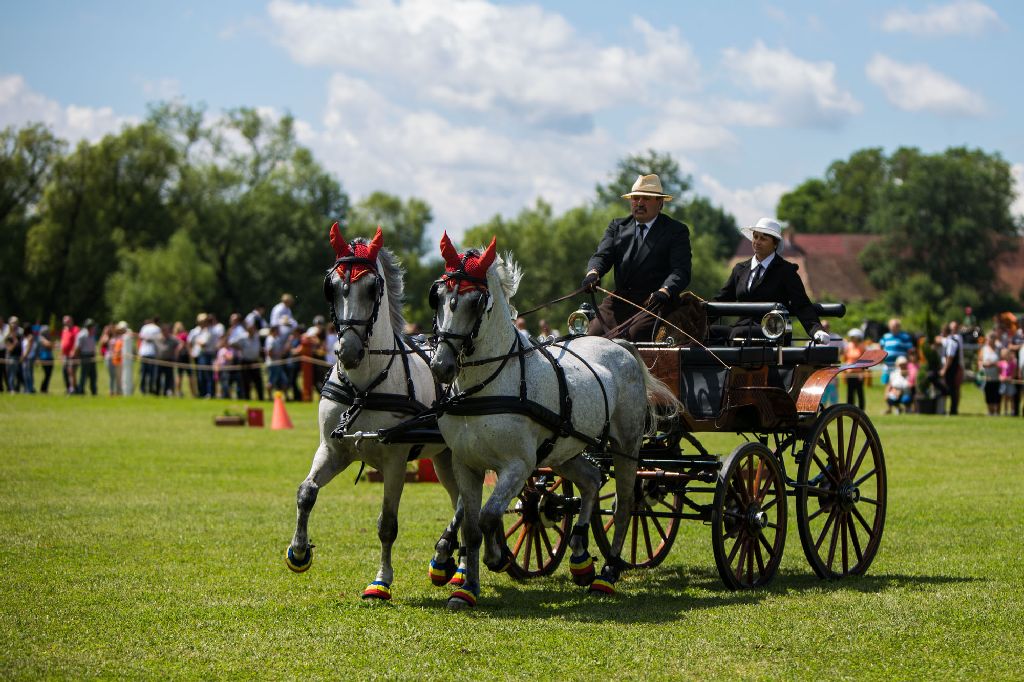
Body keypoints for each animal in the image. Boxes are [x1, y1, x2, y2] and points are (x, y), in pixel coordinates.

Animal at [286, 225, 466, 598]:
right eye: (332, 286)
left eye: (372, 288)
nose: (348, 351)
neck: (364, 387)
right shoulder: (333, 449)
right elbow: (306, 492)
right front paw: (298, 551)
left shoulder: (395, 461)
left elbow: (387, 524)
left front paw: (381, 580)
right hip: (443, 459)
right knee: (461, 499)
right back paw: (447, 561)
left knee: (468, 504)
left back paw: (448, 560)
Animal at [425, 232, 679, 606]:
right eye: (439, 296)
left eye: (476, 302)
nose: (441, 366)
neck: (486, 387)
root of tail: (620, 346)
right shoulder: (466, 464)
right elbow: (471, 527)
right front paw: (467, 589)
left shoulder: (518, 465)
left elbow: (489, 516)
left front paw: (497, 557)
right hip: (564, 450)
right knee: (591, 480)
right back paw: (580, 558)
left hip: (627, 445)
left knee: (624, 505)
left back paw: (607, 572)